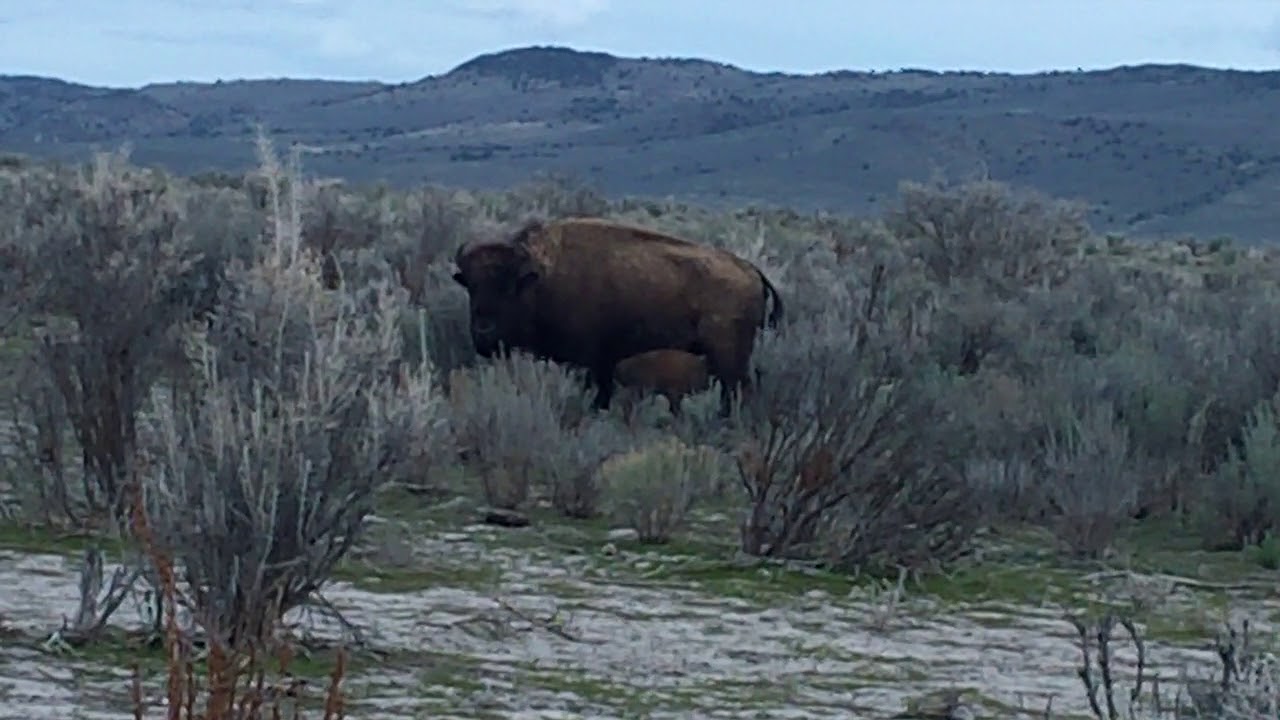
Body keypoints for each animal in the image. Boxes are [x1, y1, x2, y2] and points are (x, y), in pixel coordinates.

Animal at [451, 216, 784, 415]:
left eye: (508, 286)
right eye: (470, 285)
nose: (484, 332)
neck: (542, 276)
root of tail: (750, 270)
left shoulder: (590, 361)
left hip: (728, 355)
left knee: (737, 389)